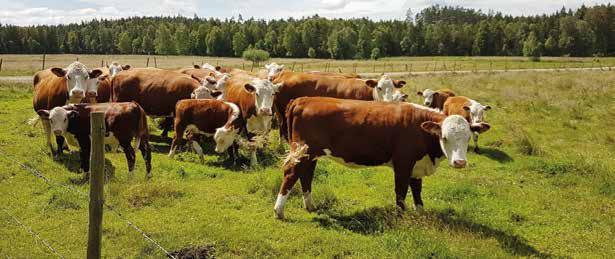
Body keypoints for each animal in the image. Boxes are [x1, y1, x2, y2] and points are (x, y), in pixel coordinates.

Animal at [274, 97, 490, 219]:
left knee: (306, 175)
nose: (460, 162)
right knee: (291, 173)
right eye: (444, 137)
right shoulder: (403, 163)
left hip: (311, 154)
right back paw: (279, 211)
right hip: (302, 151)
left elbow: (417, 190)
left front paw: (420, 213)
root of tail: (303, 99)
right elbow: (401, 191)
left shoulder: (417, 165)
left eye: (468, 137)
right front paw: (401, 216)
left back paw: (310, 205)